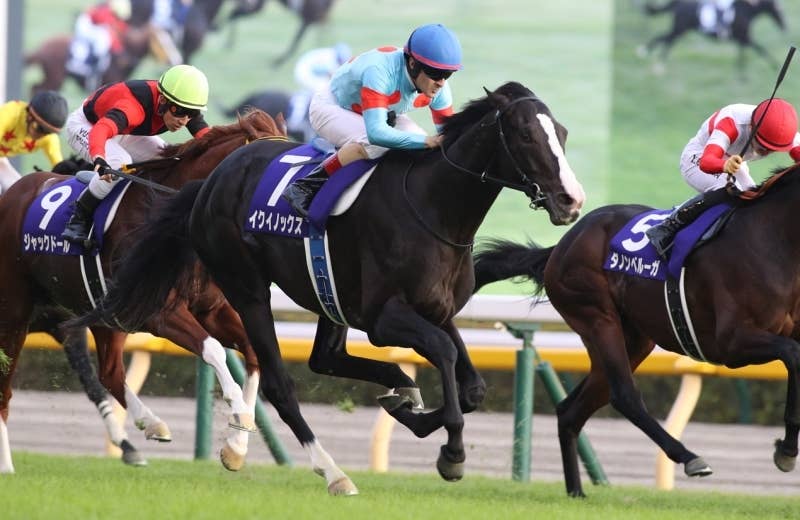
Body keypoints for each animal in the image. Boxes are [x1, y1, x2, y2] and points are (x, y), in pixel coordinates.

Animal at [0, 109, 284, 475]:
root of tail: (13, 193)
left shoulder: (210, 308)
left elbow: (251, 351)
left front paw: (236, 445)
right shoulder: (158, 312)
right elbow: (213, 350)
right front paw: (238, 411)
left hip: (102, 315)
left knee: (109, 373)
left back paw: (151, 424)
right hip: (15, 311)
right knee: (6, 386)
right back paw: (7, 464)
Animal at [71, 81, 586, 494]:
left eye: (562, 134)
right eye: (526, 135)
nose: (571, 200)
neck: (432, 207)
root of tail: (211, 181)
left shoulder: (436, 309)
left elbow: (470, 382)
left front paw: (409, 408)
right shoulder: (384, 318)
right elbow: (443, 354)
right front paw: (450, 453)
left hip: (326, 297)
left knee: (326, 358)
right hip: (247, 289)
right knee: (278, 381)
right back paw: (333, 472)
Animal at [472, 163, 800, 497]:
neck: (772, 243)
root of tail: (561, 246)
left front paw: (786, 449)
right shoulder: (730, 342)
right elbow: (792, 353)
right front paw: (786, 450)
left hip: (633, 339)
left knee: (571, 409)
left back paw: (576, 492)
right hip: (598, 318)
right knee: (623, 395)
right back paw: (689, 457)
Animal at [640, 0, 786, 71]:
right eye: (778, 10)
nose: (784, 26)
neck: (746, 9)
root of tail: (678, 3)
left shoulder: (743, 39)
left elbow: (743, 55)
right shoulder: (745, 38)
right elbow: (761, 50)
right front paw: (775, 65)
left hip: (680, 30)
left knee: (664, 39)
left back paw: (650, 55)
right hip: (679, 29)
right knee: (666, 40)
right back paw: (654, 60)